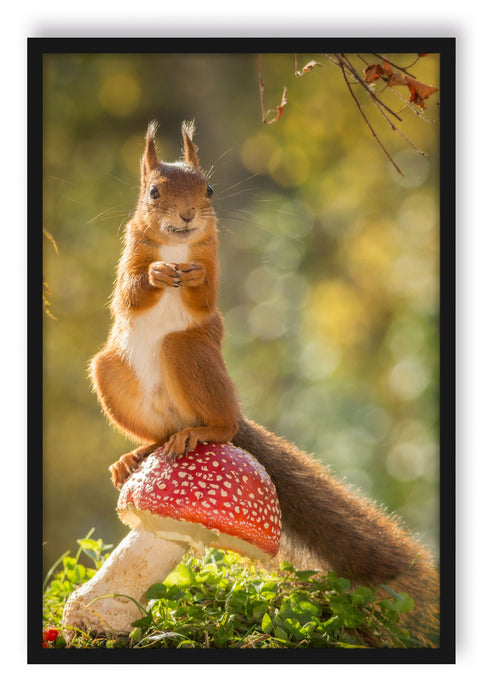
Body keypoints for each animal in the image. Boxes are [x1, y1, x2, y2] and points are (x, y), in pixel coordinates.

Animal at [90, 120, 439, 644]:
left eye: (208, 190)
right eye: (153, 192)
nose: (188, 216)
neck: (177, 247)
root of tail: (190, 419)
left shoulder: (212, 261)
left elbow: (205, 293)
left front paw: (191, 276)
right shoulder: (129, 256)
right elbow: (130, 292)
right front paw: (157, 273)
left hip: (190, 353)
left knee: (223, 423)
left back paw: (204, 431)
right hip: (109, 372)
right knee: (157, 434)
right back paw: (137, 454)